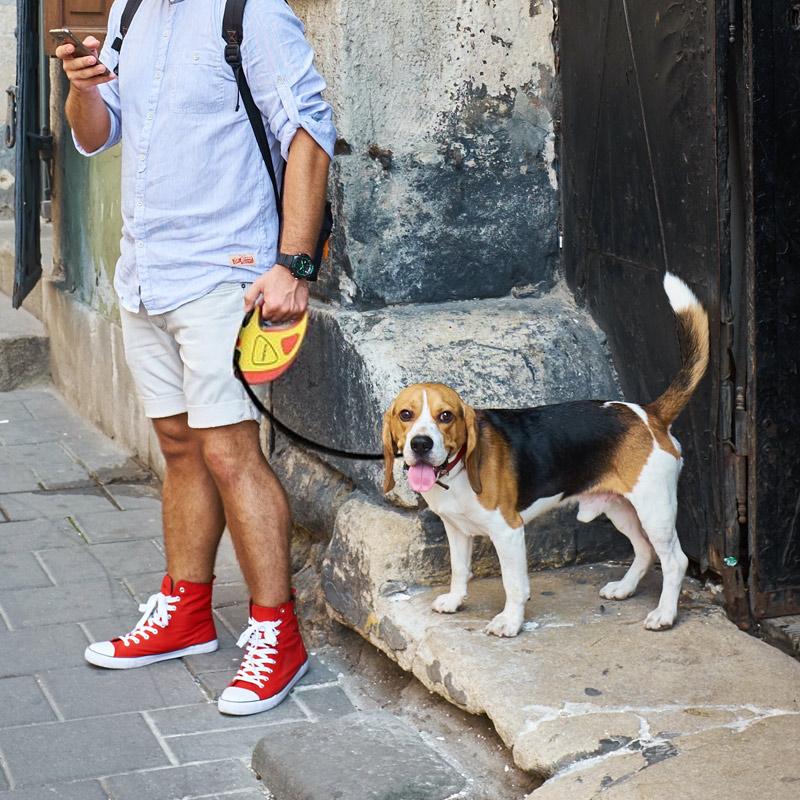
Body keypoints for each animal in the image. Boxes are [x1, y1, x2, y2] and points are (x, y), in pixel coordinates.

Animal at [382, 273, 708, 637]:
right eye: (406, 415)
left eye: (446, 416)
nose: (421, 444)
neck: (457, 473)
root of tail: (649, 414)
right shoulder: (457, 529)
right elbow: (458, 569)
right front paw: (455, 600)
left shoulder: (508, 532)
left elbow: (514, 584)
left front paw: (510, 621)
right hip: (620, 507)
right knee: (644, 550)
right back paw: (624, 588)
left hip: (655, 510)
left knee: (675, 560)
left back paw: (664, 614)